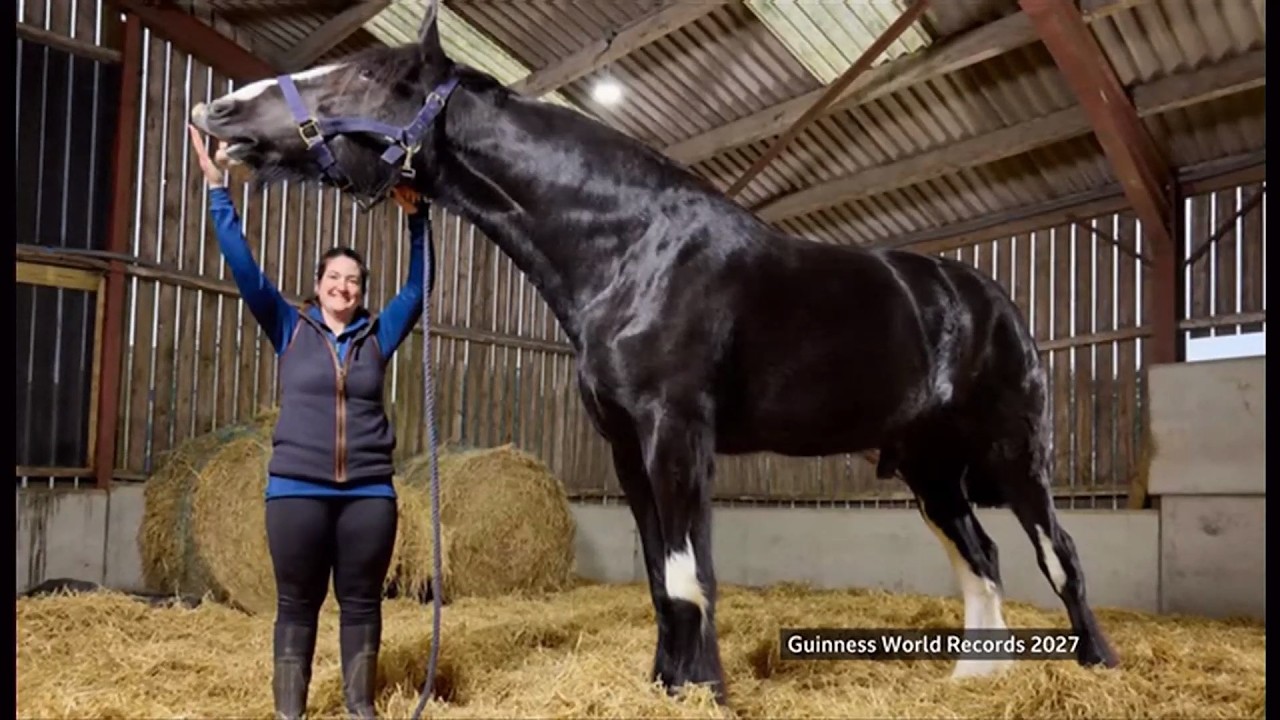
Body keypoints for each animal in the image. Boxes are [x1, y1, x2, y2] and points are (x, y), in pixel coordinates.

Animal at [189, 0, 1119, 703]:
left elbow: (685, 572)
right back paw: (975, 678)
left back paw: (1096, 664)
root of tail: (990, 300)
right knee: (982, 555)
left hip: (1016, 454)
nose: (216, 113)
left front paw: (703, 689)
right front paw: (670, 683)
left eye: (366, 78)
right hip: (930, 470)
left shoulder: (678, 433)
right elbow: (658, 573)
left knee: (1060, 553)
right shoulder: (627, 446)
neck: (633, 250)